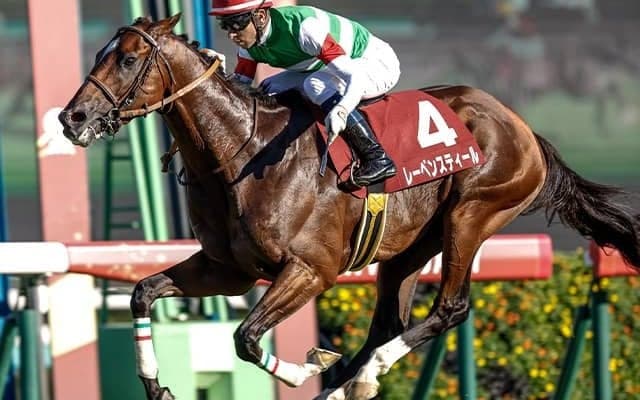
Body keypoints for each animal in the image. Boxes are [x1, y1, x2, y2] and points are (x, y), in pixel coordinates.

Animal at [58, 15, 640, 400]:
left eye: (128, 58)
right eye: (99, 55)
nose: (72, 118)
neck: (241, 153)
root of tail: (521, 127)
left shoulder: (310, 270)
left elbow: (246, 338)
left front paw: (305, 370)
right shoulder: (228, 269)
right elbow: (142, 292)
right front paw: (157, 387)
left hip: (472, 214)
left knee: (449, 308)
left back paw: (362, 375)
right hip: (406, 249)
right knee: (388, 321)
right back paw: (351, 383)